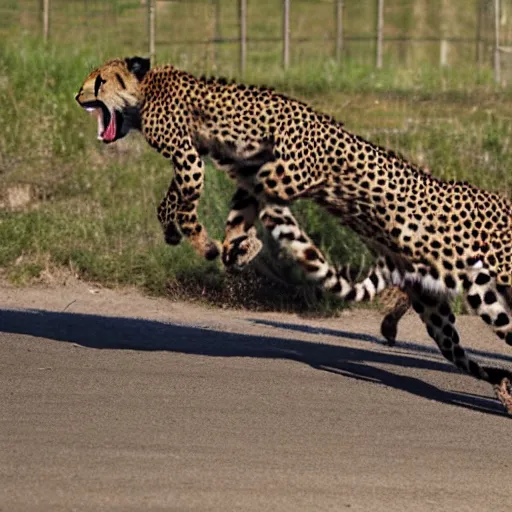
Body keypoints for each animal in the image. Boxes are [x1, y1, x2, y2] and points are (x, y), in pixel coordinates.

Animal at [75, 58, 512, 414]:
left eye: (98, 80)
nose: (78, 96)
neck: (146, 90)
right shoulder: (226, 169)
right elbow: (208, 206)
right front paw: (233, 247)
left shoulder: (220, 164)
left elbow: (188, 202)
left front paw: (208, 241)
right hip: (448, 310)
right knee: (468, 351)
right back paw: (501, 387)